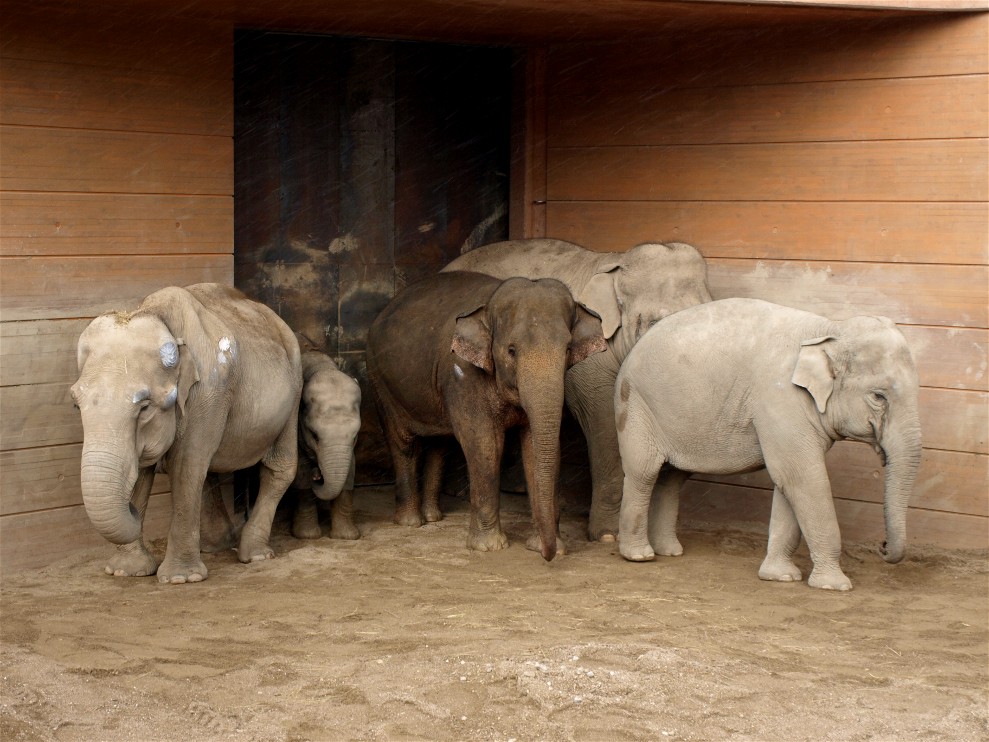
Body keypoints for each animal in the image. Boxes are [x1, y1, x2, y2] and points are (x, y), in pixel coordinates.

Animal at [71, 283, 302, 583]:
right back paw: (214, 546)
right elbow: (147, 470)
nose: (131, 509)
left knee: (279, 468)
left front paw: (181, 579)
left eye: (145, 407)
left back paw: (255, 555)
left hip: (295, 385)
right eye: (76, 404)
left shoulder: (209, 392)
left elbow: (185, 466)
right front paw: (126, 571)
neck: (153, 313)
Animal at [290, 337, 363, 541]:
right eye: (314, 436)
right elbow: (301, 473)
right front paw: (307, 536)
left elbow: (350, 470)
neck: (321, 366)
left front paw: (346, 536)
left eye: (355, 436)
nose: (318, 474)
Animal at [366, 271, 607, 561]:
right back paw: (410, 522)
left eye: (568, 348)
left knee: (439, 444)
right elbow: (485, 444)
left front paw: (546, 546)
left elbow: (535, 447)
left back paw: (433, 517)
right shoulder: (463, 375)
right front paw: (489, 546)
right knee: (403, 442)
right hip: (380, 380)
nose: (548, 556)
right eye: (511, 350)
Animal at [443, 238, 712, 542]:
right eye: (654, 324)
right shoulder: (591, 363)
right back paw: (459, 491)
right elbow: (605, 424)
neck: (616, 262)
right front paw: (608, 535)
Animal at [614, 298, 922, 590]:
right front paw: (834, 585)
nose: (882, 546)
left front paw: (780, 577)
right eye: (878, 396)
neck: (829, 328)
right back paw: (640, 556)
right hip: (636, 406)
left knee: (672, 478)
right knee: (644, 473)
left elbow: (788, 482)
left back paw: (669, 551)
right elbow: (804, 478)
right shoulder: (780, 398)